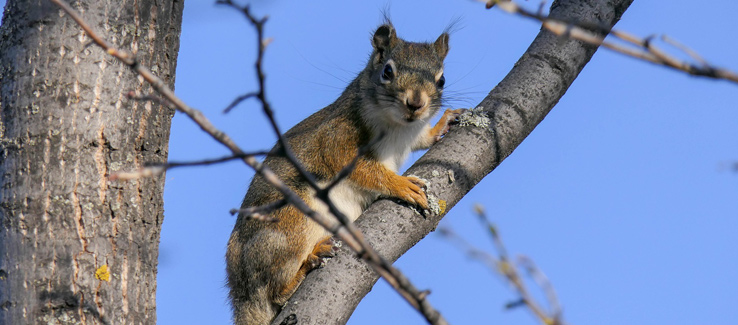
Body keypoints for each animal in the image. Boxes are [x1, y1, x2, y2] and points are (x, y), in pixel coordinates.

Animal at [227, 21, 462, 322]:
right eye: (387, 71)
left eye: (441, 80)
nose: (415, 103)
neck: (400, 127)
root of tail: (241, 293)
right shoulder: (338, 134)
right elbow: (349, 162)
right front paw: (400, 185)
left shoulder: (412, 134)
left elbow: (424, 138)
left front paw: (444, 122)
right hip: (287, 224)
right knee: (275, 291)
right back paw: (307, 264)